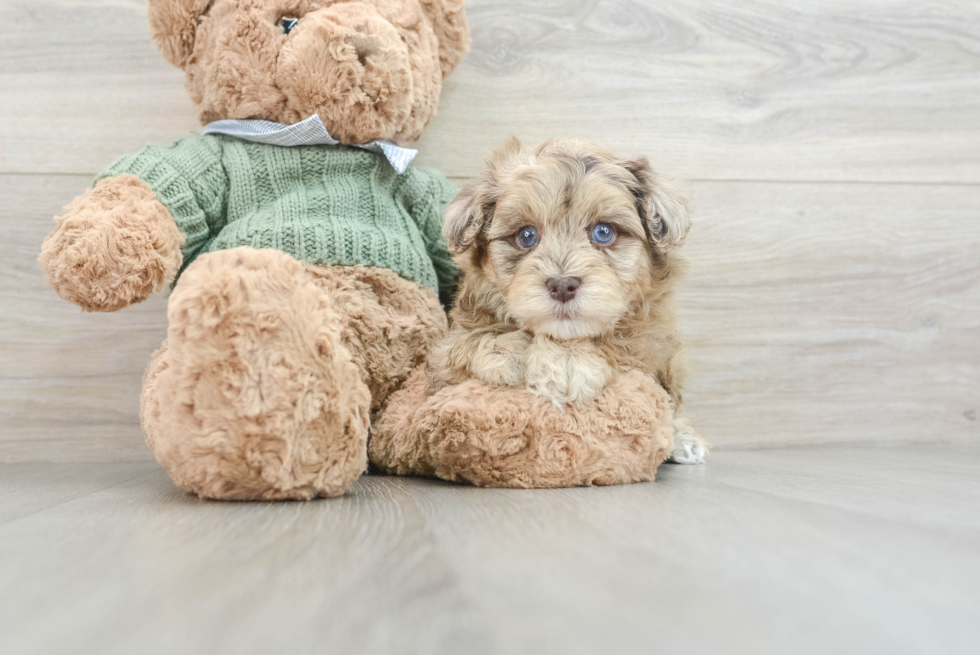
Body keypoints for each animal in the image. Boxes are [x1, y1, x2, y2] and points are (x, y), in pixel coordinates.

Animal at [432, 137, 708, 466]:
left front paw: (567, 363)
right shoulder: (446, 352)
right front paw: (511, 355)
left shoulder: (650, 346)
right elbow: (474, 339)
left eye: (604, 232)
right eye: (526, 235)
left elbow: (616, 345)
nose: (562, 285)